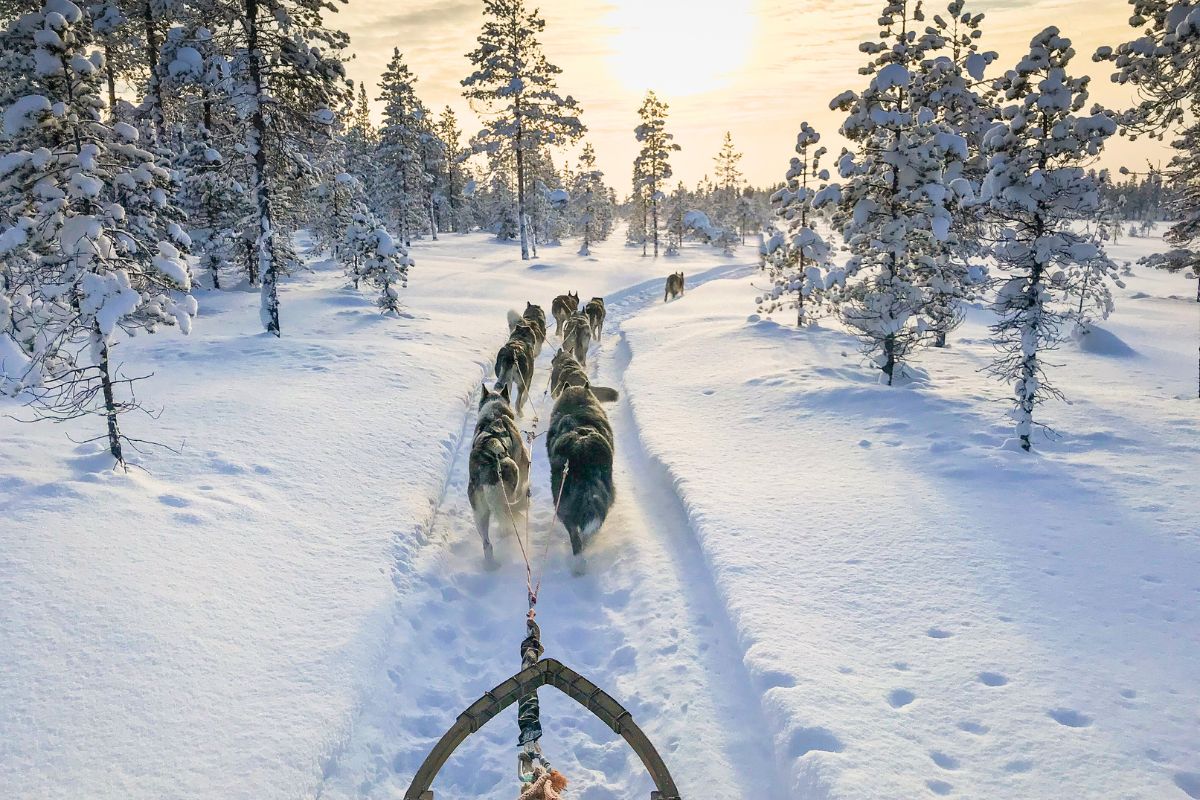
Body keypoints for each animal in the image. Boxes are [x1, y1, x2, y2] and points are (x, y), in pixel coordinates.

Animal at [468, 383, 530, 566]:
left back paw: (491, 565)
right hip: (512, 474)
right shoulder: (523, 463)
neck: (495, 413)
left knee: (487, 544)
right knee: (510, 514)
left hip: (479, 514)